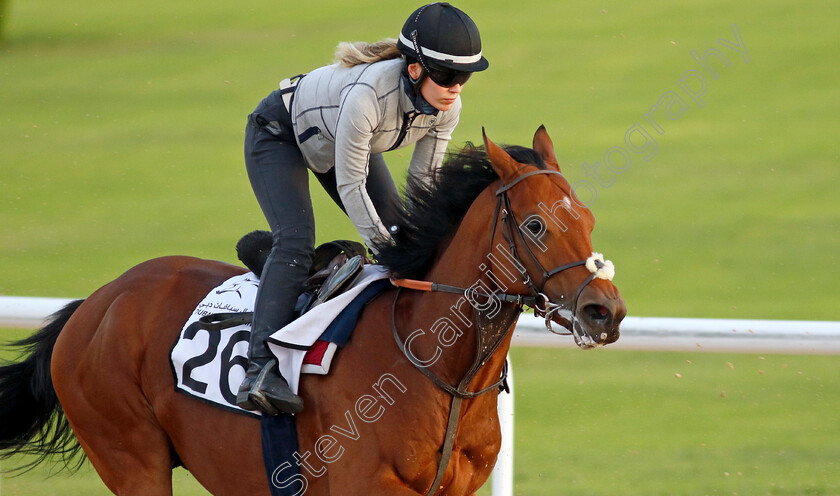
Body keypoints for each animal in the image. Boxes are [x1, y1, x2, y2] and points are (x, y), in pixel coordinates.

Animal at [0, 129, 624, 496]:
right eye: (536, 224)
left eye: (589, 217)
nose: (606, 311)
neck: (437, 369)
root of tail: (97, 302)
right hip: (130, 455)